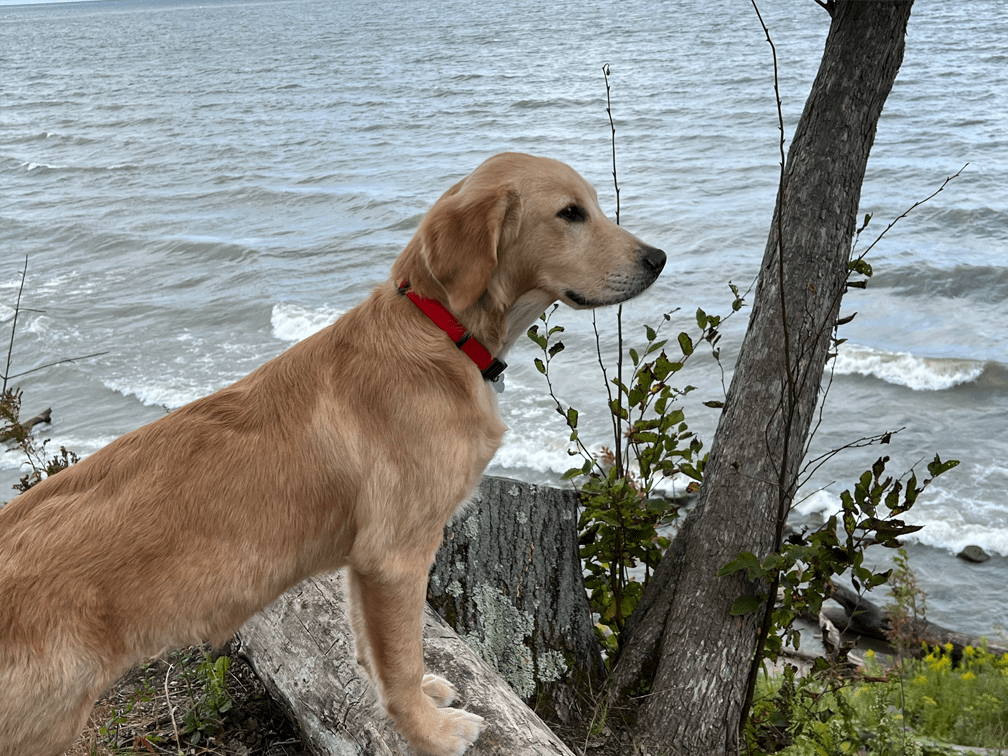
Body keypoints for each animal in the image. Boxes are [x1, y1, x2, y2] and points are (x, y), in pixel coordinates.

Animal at [0, 154, 665, 756]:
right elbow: (402, 656)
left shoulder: (364, 561)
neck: (439, 334)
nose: (657, 259)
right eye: (571, 213)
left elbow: (377, 651)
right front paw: (430, 733)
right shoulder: (397, 555)